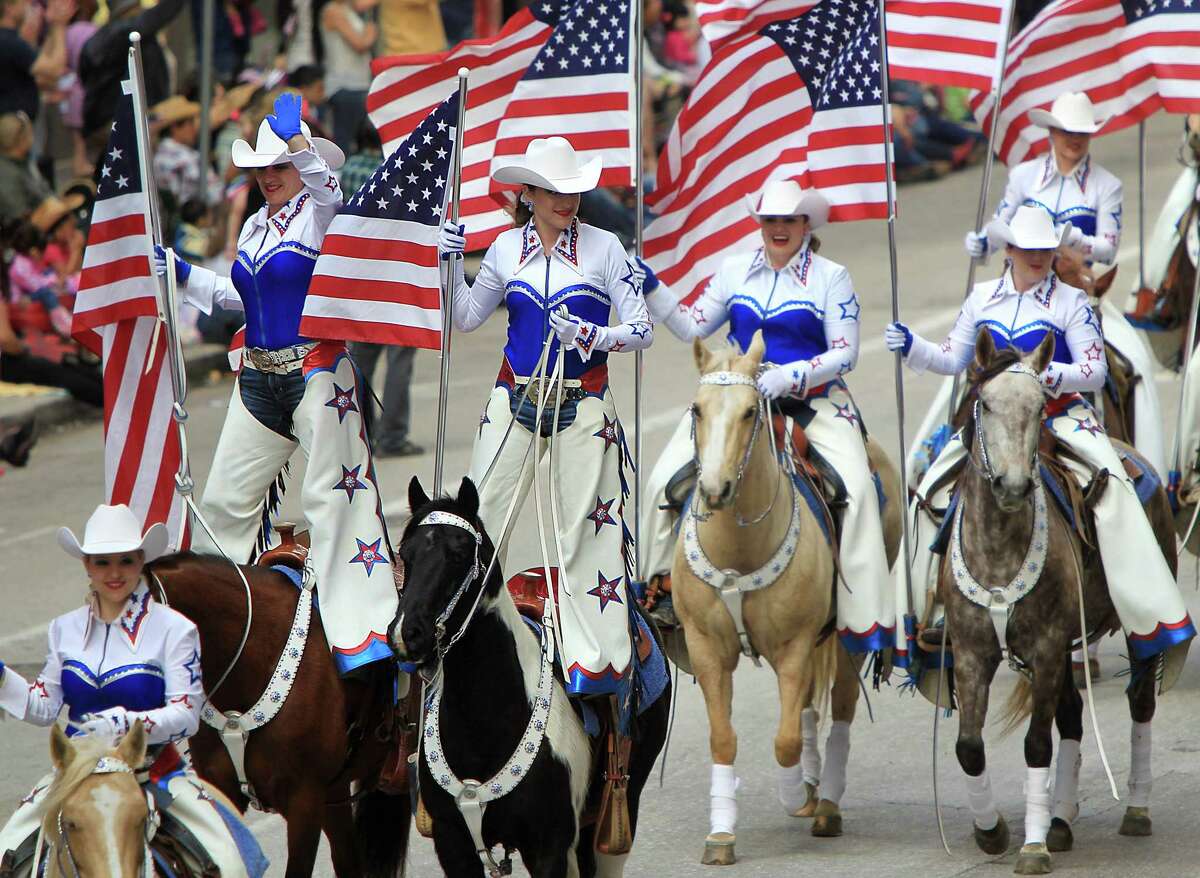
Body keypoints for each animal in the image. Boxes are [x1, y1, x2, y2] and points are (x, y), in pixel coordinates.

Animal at [396, 477, 672, 873]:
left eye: (460, 553)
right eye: (406, 554)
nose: (408, 634)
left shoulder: (549, 848)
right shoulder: (452, 843)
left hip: (621, 807)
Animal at [667, 335, 902, 863]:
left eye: (750, 411)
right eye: (696, 409)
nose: (714, 489)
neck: (739, 550)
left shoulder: (793, 645)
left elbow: (786, 741)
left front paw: (795, 793)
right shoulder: (706, 648)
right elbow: (724, 738)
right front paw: (721, 836)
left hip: (847, 637)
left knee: (839, 708)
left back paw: (826, 803)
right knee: (812, 706)